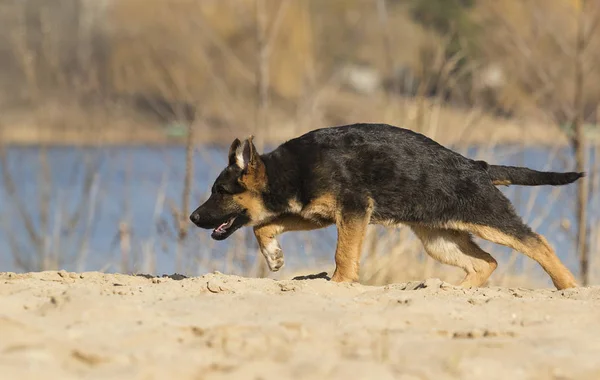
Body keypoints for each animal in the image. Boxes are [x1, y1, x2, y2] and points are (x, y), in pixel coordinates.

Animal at [191, 123, 580, 290]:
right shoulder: (318, 215)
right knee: (486, 262)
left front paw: (340, 283)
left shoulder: (353, 210)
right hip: (439, 239)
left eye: (220, 191)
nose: (194, 217)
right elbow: (263, 225)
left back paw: (569, 287)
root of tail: (479, 166)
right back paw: (456, 292)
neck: (290, 170)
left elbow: (343, 254)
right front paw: (274, 257)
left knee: (537, 243)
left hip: (489, 219)